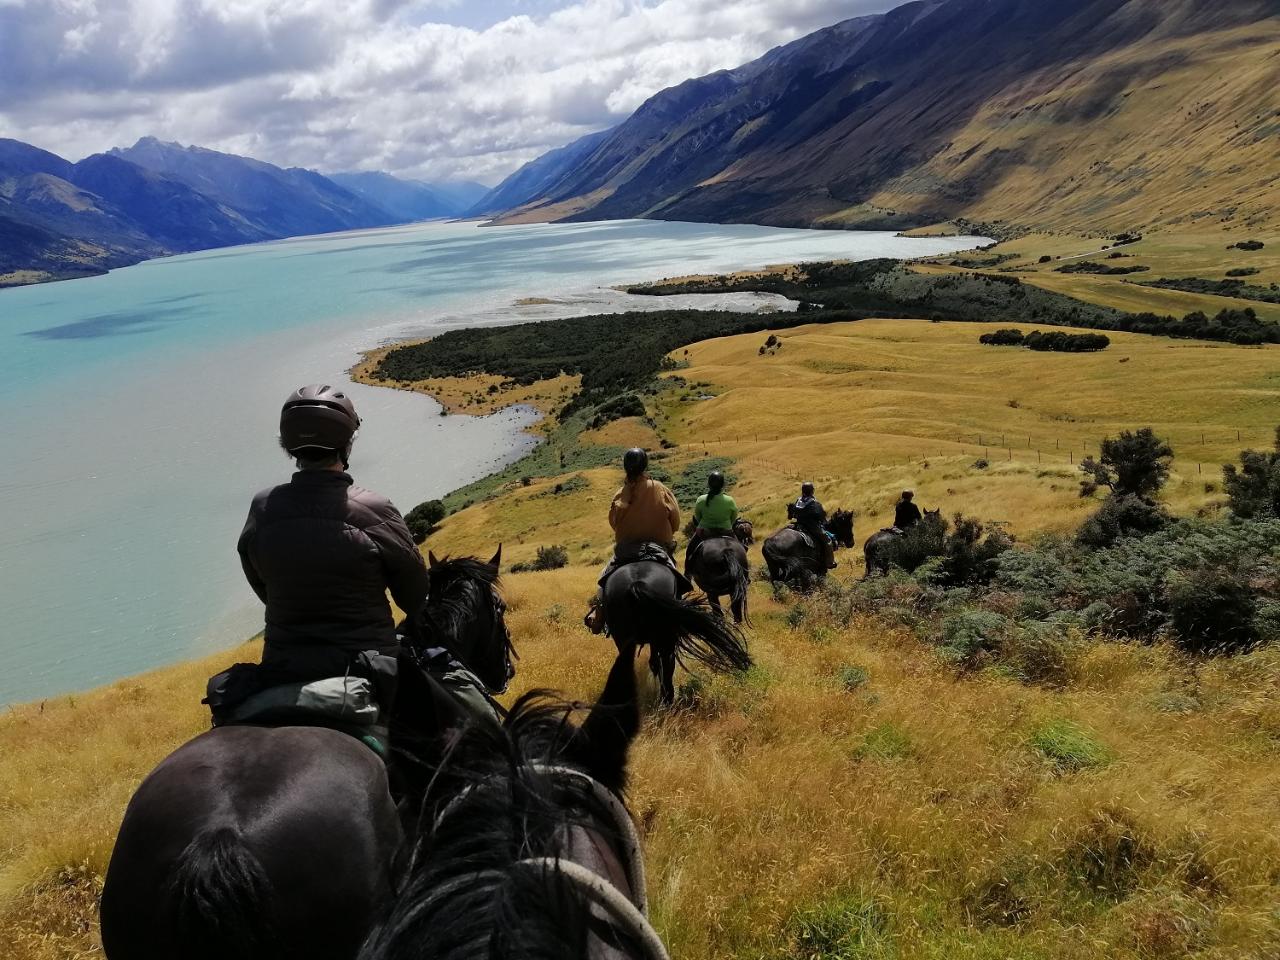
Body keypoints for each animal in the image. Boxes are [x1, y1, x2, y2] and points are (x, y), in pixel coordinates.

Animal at [599, 555, 747, 706]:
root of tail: (636, 583)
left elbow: (654, 663)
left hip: (626, 639)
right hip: (666, 638)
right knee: (668, 663)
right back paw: (668, 700)